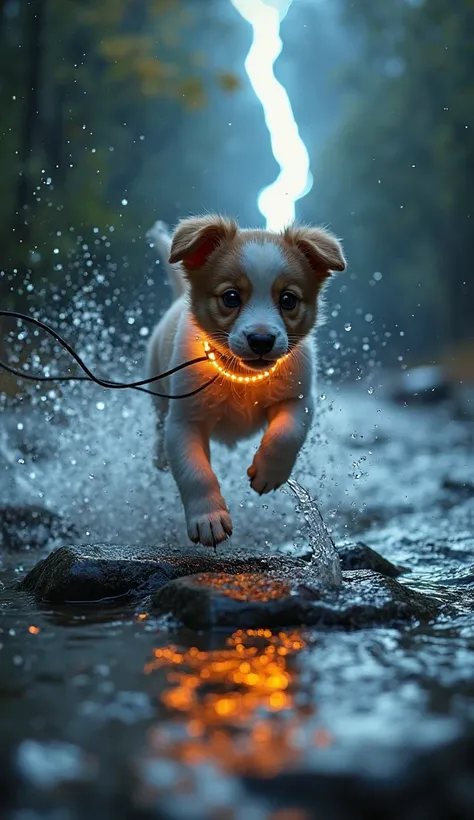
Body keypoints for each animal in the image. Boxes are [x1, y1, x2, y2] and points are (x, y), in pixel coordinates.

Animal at [145, 215, 344, 548]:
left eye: (288, 300)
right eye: (231, 297)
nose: (261, 340)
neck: (243, 376)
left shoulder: (298, 399)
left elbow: (286, 434)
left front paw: (269, 470)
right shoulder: (185, 420)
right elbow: (195, 472)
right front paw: (208, 518)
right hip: (159, 390)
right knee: (159, 422)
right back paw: (160, 456)